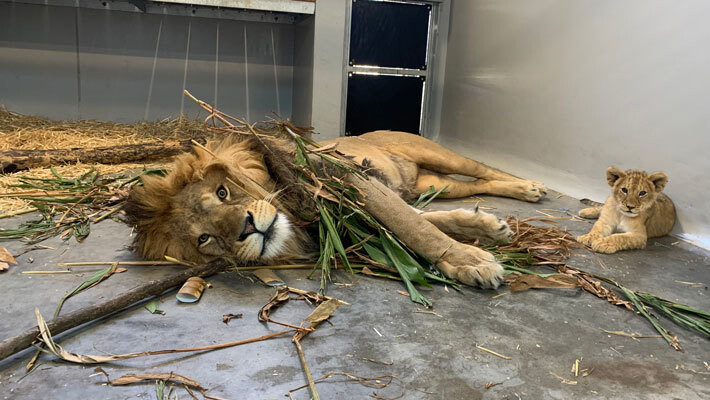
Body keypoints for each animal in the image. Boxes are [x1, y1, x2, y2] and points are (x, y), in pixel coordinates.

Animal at [126, 130, 552, 290]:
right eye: (205, 238)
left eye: (222, 192)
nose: (247, 229)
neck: (297, 224)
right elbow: (423, 220)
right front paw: (487, 229)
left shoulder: (354, 181)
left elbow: (415, 226)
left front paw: (471, 260)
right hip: (434, 184)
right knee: (475, 185)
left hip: (435, 154)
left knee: (484, 170)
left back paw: (531, 186)